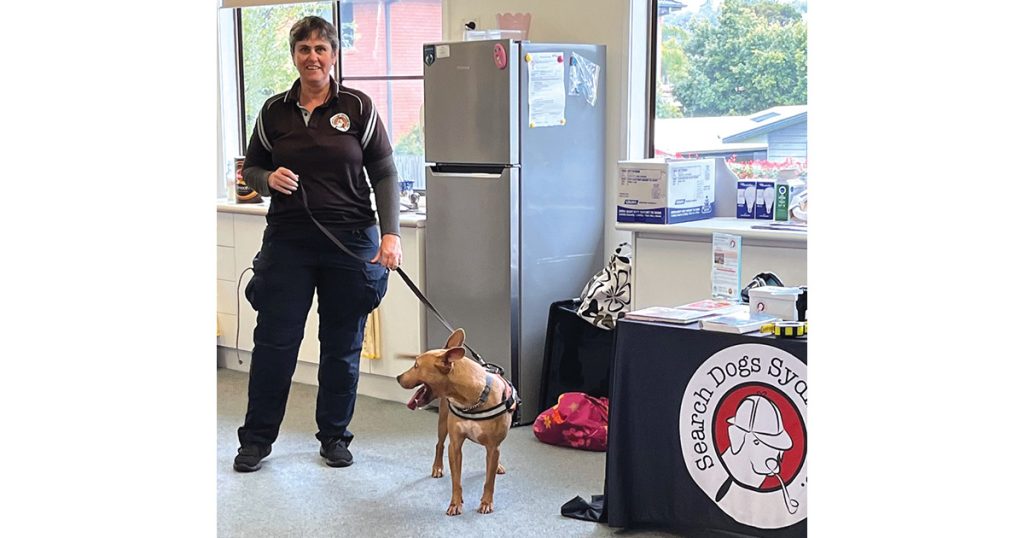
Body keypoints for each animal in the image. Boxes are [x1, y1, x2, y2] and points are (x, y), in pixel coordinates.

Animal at [395, 329, 516, 514]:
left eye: (416, 365)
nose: (398, 377)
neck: (474, 398)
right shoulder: (455, 445)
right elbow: (456, 480)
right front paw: (455, 503)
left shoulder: (493, 446)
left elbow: (489, 480)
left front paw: (486, 502)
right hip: (443, 422)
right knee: (439, 444)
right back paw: (437, 467)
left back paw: (498, 466)